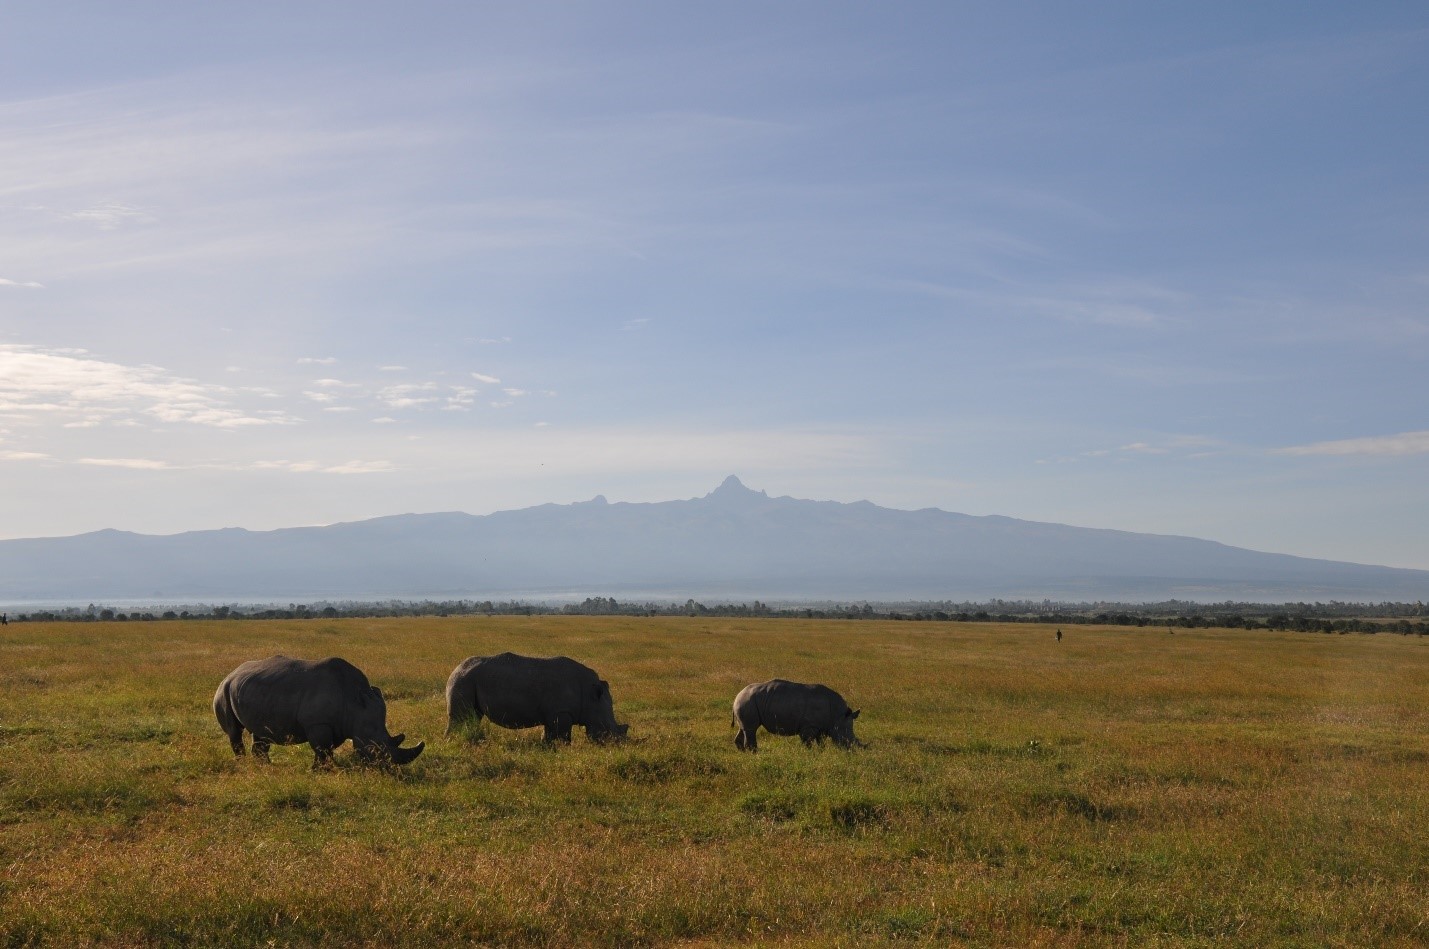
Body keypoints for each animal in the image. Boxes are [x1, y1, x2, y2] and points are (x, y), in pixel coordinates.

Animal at [211, 657, 422, 766]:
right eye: (375, 747)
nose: (388, 767)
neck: (355, 702)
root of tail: (231, 673)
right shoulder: (318, 723)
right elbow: (322, 748)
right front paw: (321, 771)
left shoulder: (337, 725)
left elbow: (326, 748)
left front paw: (324, 768)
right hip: (223, 690)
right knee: (235, 731)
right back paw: (243, 764)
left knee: (261, 734)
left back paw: (265, 767)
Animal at [442, 651, 628, 743]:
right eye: (607, 729)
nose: (617, 745)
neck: (592, 696)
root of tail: (456, 668)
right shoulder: (562, 712)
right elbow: (563, 737)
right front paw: (562, 749)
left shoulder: (554, 714)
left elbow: (550, 735)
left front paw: (547, 748)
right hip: (464, 680)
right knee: (460, 717)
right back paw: (453, 741)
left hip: (468, 680)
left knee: (474, 716)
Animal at [731, 677, 863, 754]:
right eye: (846, 739)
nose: (852, 751)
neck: (838, 716)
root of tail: (737, 695)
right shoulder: (809, 726)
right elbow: (808, 743)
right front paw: (810, 754)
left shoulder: (820, 727)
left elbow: (821, 742)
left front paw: (821, 752)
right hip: (747, 701)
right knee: (751, 729)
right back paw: (754, 754)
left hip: (747, 702)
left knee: (744, 728)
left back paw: (743, 753)